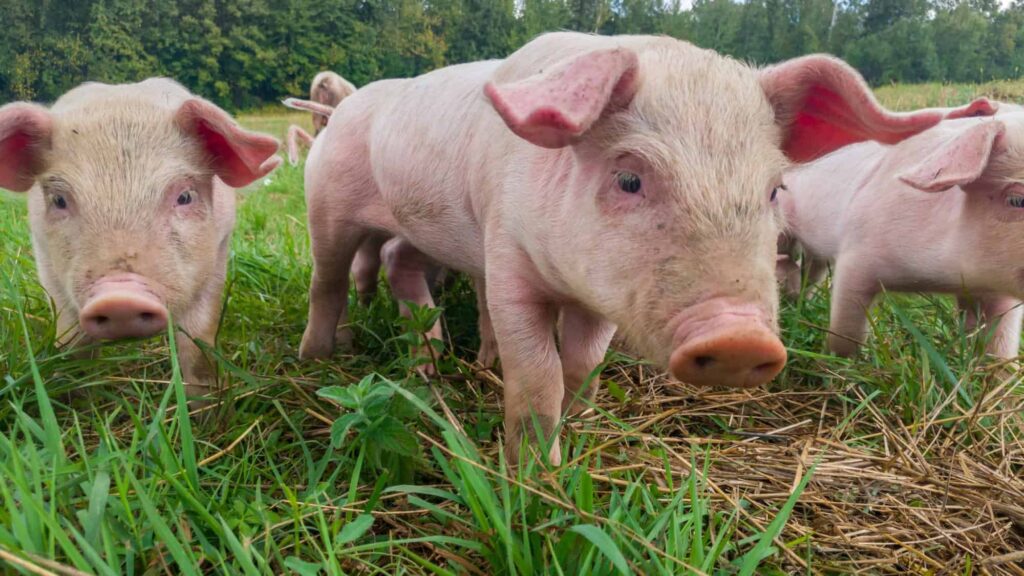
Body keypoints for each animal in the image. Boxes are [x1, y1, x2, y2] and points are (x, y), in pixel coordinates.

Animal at [0, 78, 280, 397]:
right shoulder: (45, 259)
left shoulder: (219, 249)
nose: (120, 298)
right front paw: (75, 397)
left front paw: (204, 404)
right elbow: (74, 341)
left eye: (185, 196)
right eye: (59, 200)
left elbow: (196, 341)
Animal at [774, 100, 1024, 356]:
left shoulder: (995, 292)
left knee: (812, 271)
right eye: (1017, 200)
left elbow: (999, 343)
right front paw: (840, 359)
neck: (943, 278)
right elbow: (847, 328)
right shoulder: (858, 254)